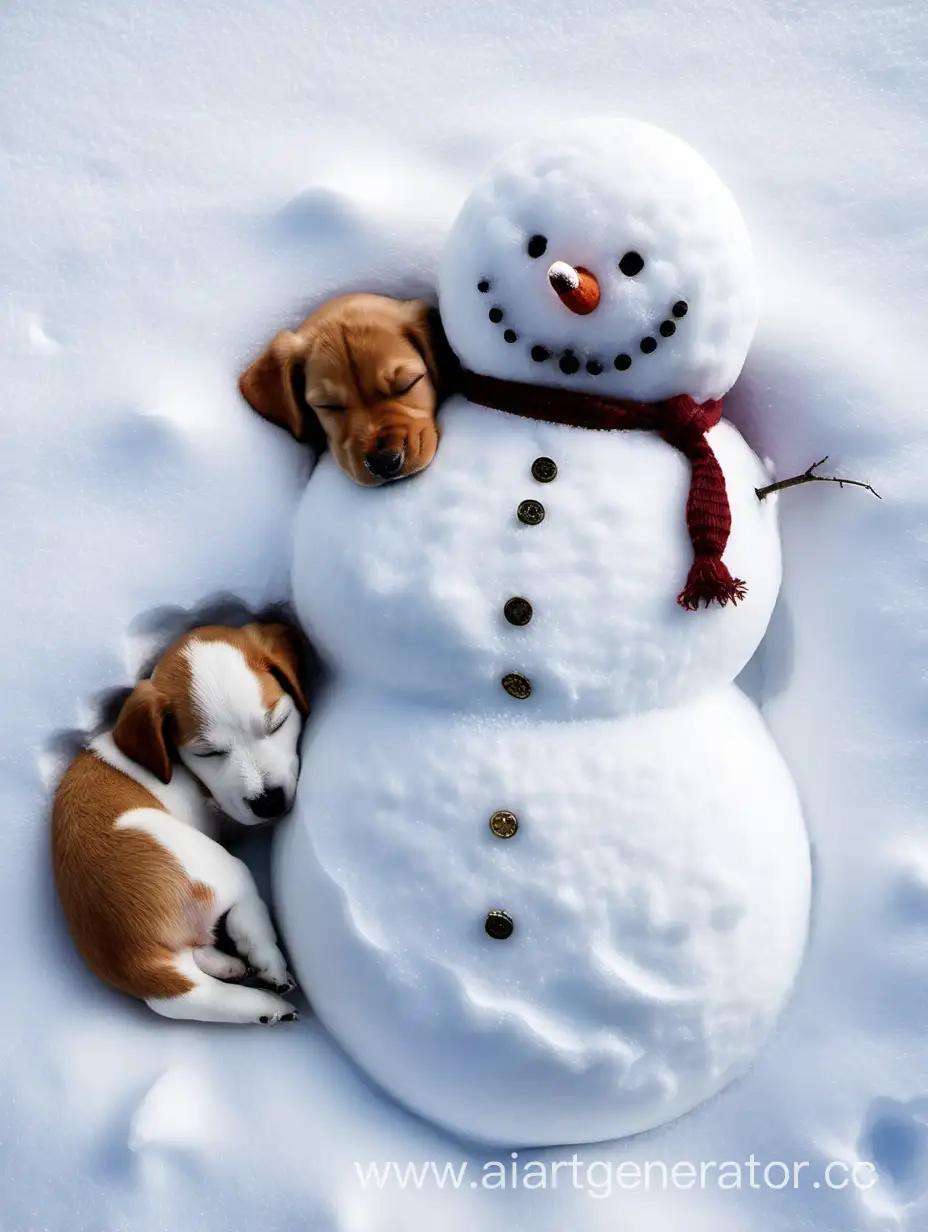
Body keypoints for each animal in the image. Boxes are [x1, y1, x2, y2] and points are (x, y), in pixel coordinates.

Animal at [53, 620, 308, 1025]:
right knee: (246, 916)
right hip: (220, 867)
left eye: (277, 723)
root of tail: (140, 963)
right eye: (207, 753)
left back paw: (232, 971)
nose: (269, 802)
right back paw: (270, 966)